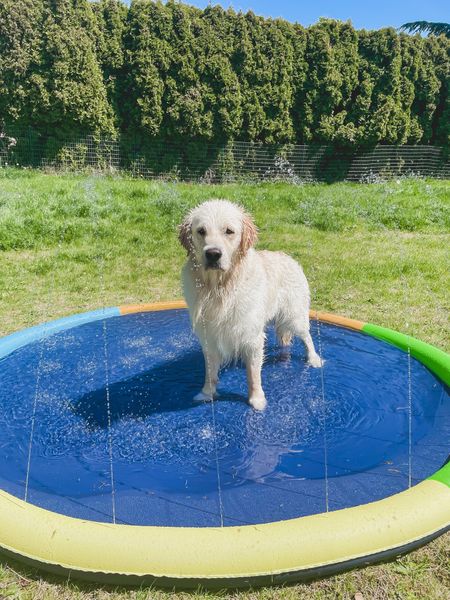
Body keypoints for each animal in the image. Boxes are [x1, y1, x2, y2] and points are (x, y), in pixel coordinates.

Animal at [178, 199, 322, 410]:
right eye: (201, 231)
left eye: (229, 231)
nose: (213, 254)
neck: (220, 287)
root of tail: (290, 258)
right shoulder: (209, 335)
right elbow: (210, 371)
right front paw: (206, 393)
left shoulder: (251, 335)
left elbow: (253, 373)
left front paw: (257, 399)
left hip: (294, 315)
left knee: (307, 336)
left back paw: (314, 359)